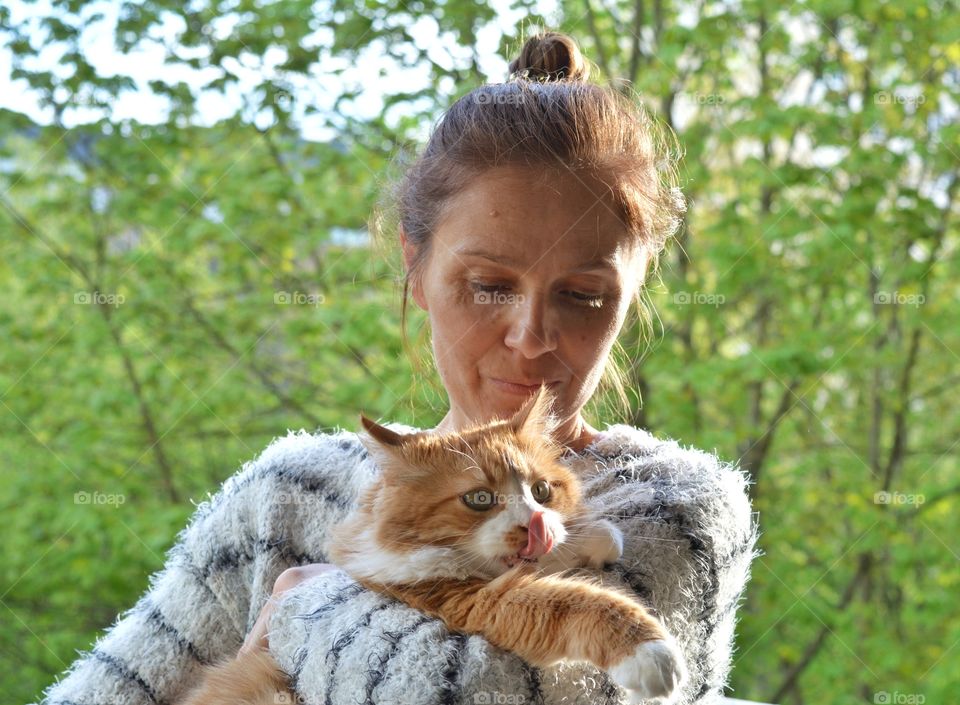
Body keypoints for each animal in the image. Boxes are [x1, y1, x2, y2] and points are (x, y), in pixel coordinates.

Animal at [180, 384, 688, 704]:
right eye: (479, 498)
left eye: (541, 491)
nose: (533, 523)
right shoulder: (465, 600)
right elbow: (574, 601)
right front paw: (649, 653)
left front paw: (593, 538)